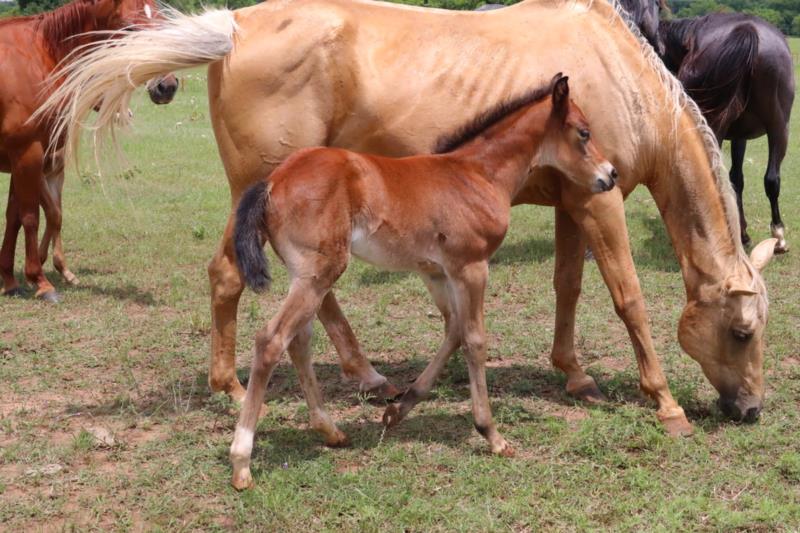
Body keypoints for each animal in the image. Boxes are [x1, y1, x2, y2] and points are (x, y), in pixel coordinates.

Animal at [0, 0, 179, 302]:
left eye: (161, 25)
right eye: (129, 28)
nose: (167, 86)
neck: (37, 57)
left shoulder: (23, 160)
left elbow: (14, 217)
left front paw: (10, 281)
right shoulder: (28, 155)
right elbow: (31, 218)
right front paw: (40, 282)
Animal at [40, 0, 778, 436]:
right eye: (742, 332)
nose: (750, 409)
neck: (620, 72)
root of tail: (235, 27)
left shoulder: (575, 200)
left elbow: (568, 286)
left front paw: (574, 374)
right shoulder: (599, 200)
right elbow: (627, 297)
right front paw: (665, 401)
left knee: (313, 296)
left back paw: (366, 376)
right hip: (259, 192)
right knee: (231, 277)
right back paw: (232, 386)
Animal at [229, 75, 617, 489]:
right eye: (584, 132)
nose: (611, 175)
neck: (477, 175)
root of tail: (273, 180)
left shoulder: (435, 272)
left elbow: (453, 332)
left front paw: (398, 409)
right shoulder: (472, 267)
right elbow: (475, 340)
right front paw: (491, 434)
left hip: (305, 275)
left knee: (298, 340)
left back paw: (330, 431)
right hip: (319, 273)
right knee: (271, 340)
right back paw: (242, 461)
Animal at [658, 13, 795, 253]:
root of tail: (747, 31)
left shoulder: (738, 136)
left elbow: (735, 179)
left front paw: (742, 233)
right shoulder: (740, 135)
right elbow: (739, 179)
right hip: (779, 129)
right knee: (771, 180)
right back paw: (777, 237)